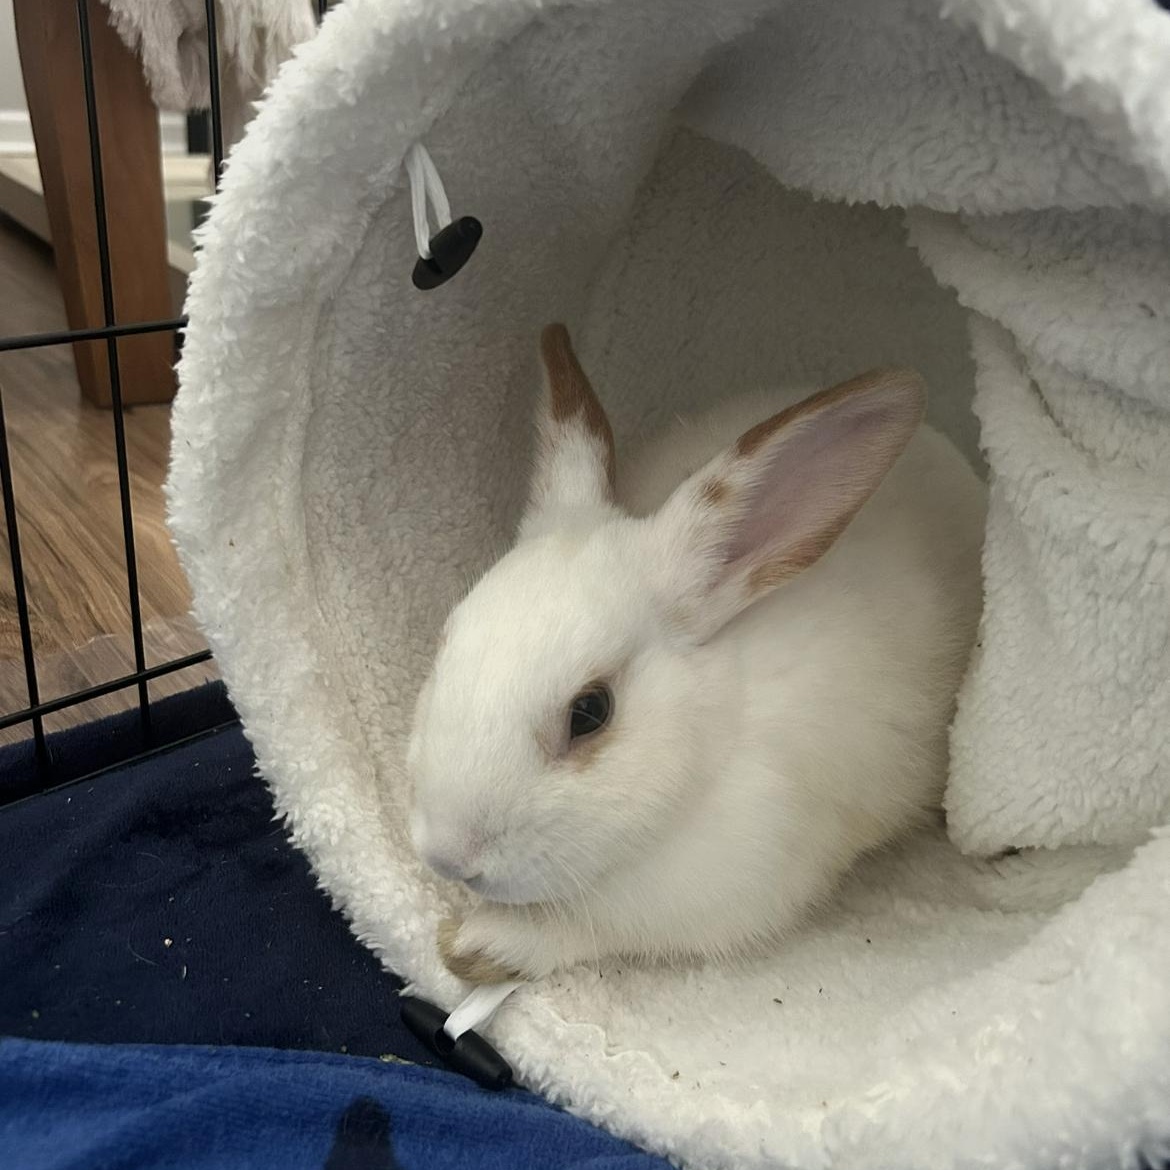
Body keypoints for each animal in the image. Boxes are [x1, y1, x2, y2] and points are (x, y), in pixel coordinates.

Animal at [407, 324, 986, 984]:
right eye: (446, 641)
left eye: (590, 712)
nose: (448, 858)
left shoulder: (721, 897)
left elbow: (583, 933)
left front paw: (475, 945)